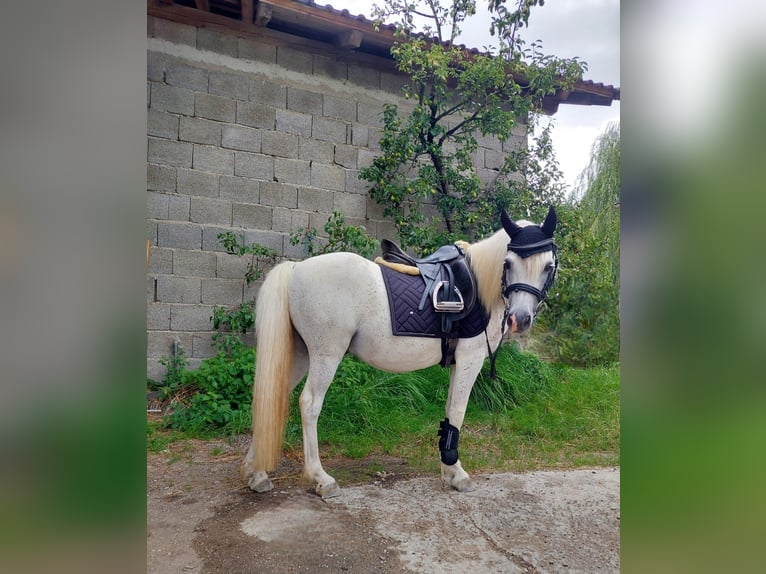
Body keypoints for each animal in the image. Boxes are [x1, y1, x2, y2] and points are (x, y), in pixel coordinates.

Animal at [241, 207, 558, 498]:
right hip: (325, 355)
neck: (481, 286)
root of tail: (296, 268)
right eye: (508, 262)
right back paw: (322, 478)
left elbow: (449, 410)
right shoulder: (471, 358)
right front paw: (457, 473)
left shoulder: (457, 362)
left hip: (301, 354)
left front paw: (447, 469)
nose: (520, 319)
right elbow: (458, 410)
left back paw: (257, 474)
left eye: (548, 266)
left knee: (271, 395)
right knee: (309, 404)